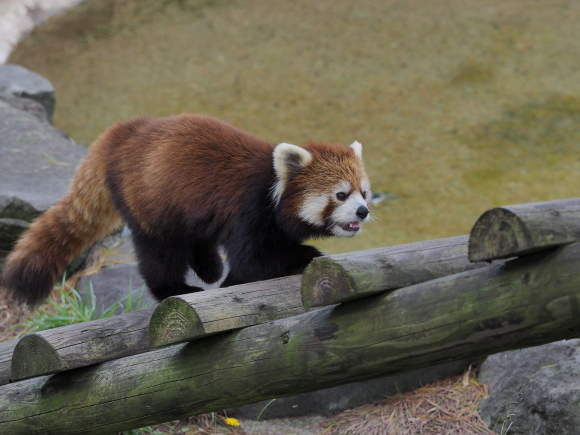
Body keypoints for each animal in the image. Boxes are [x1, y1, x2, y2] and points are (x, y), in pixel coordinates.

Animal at [1, 115, 372, 306]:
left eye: (364, 193)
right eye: (341, 195)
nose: (363, 212)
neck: (274, 187)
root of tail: (122, 132)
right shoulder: (250, 211)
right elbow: (254, 261)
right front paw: (308, 254)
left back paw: (209, 268)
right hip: (146, 202)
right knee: (159, 253)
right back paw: (174, 289)